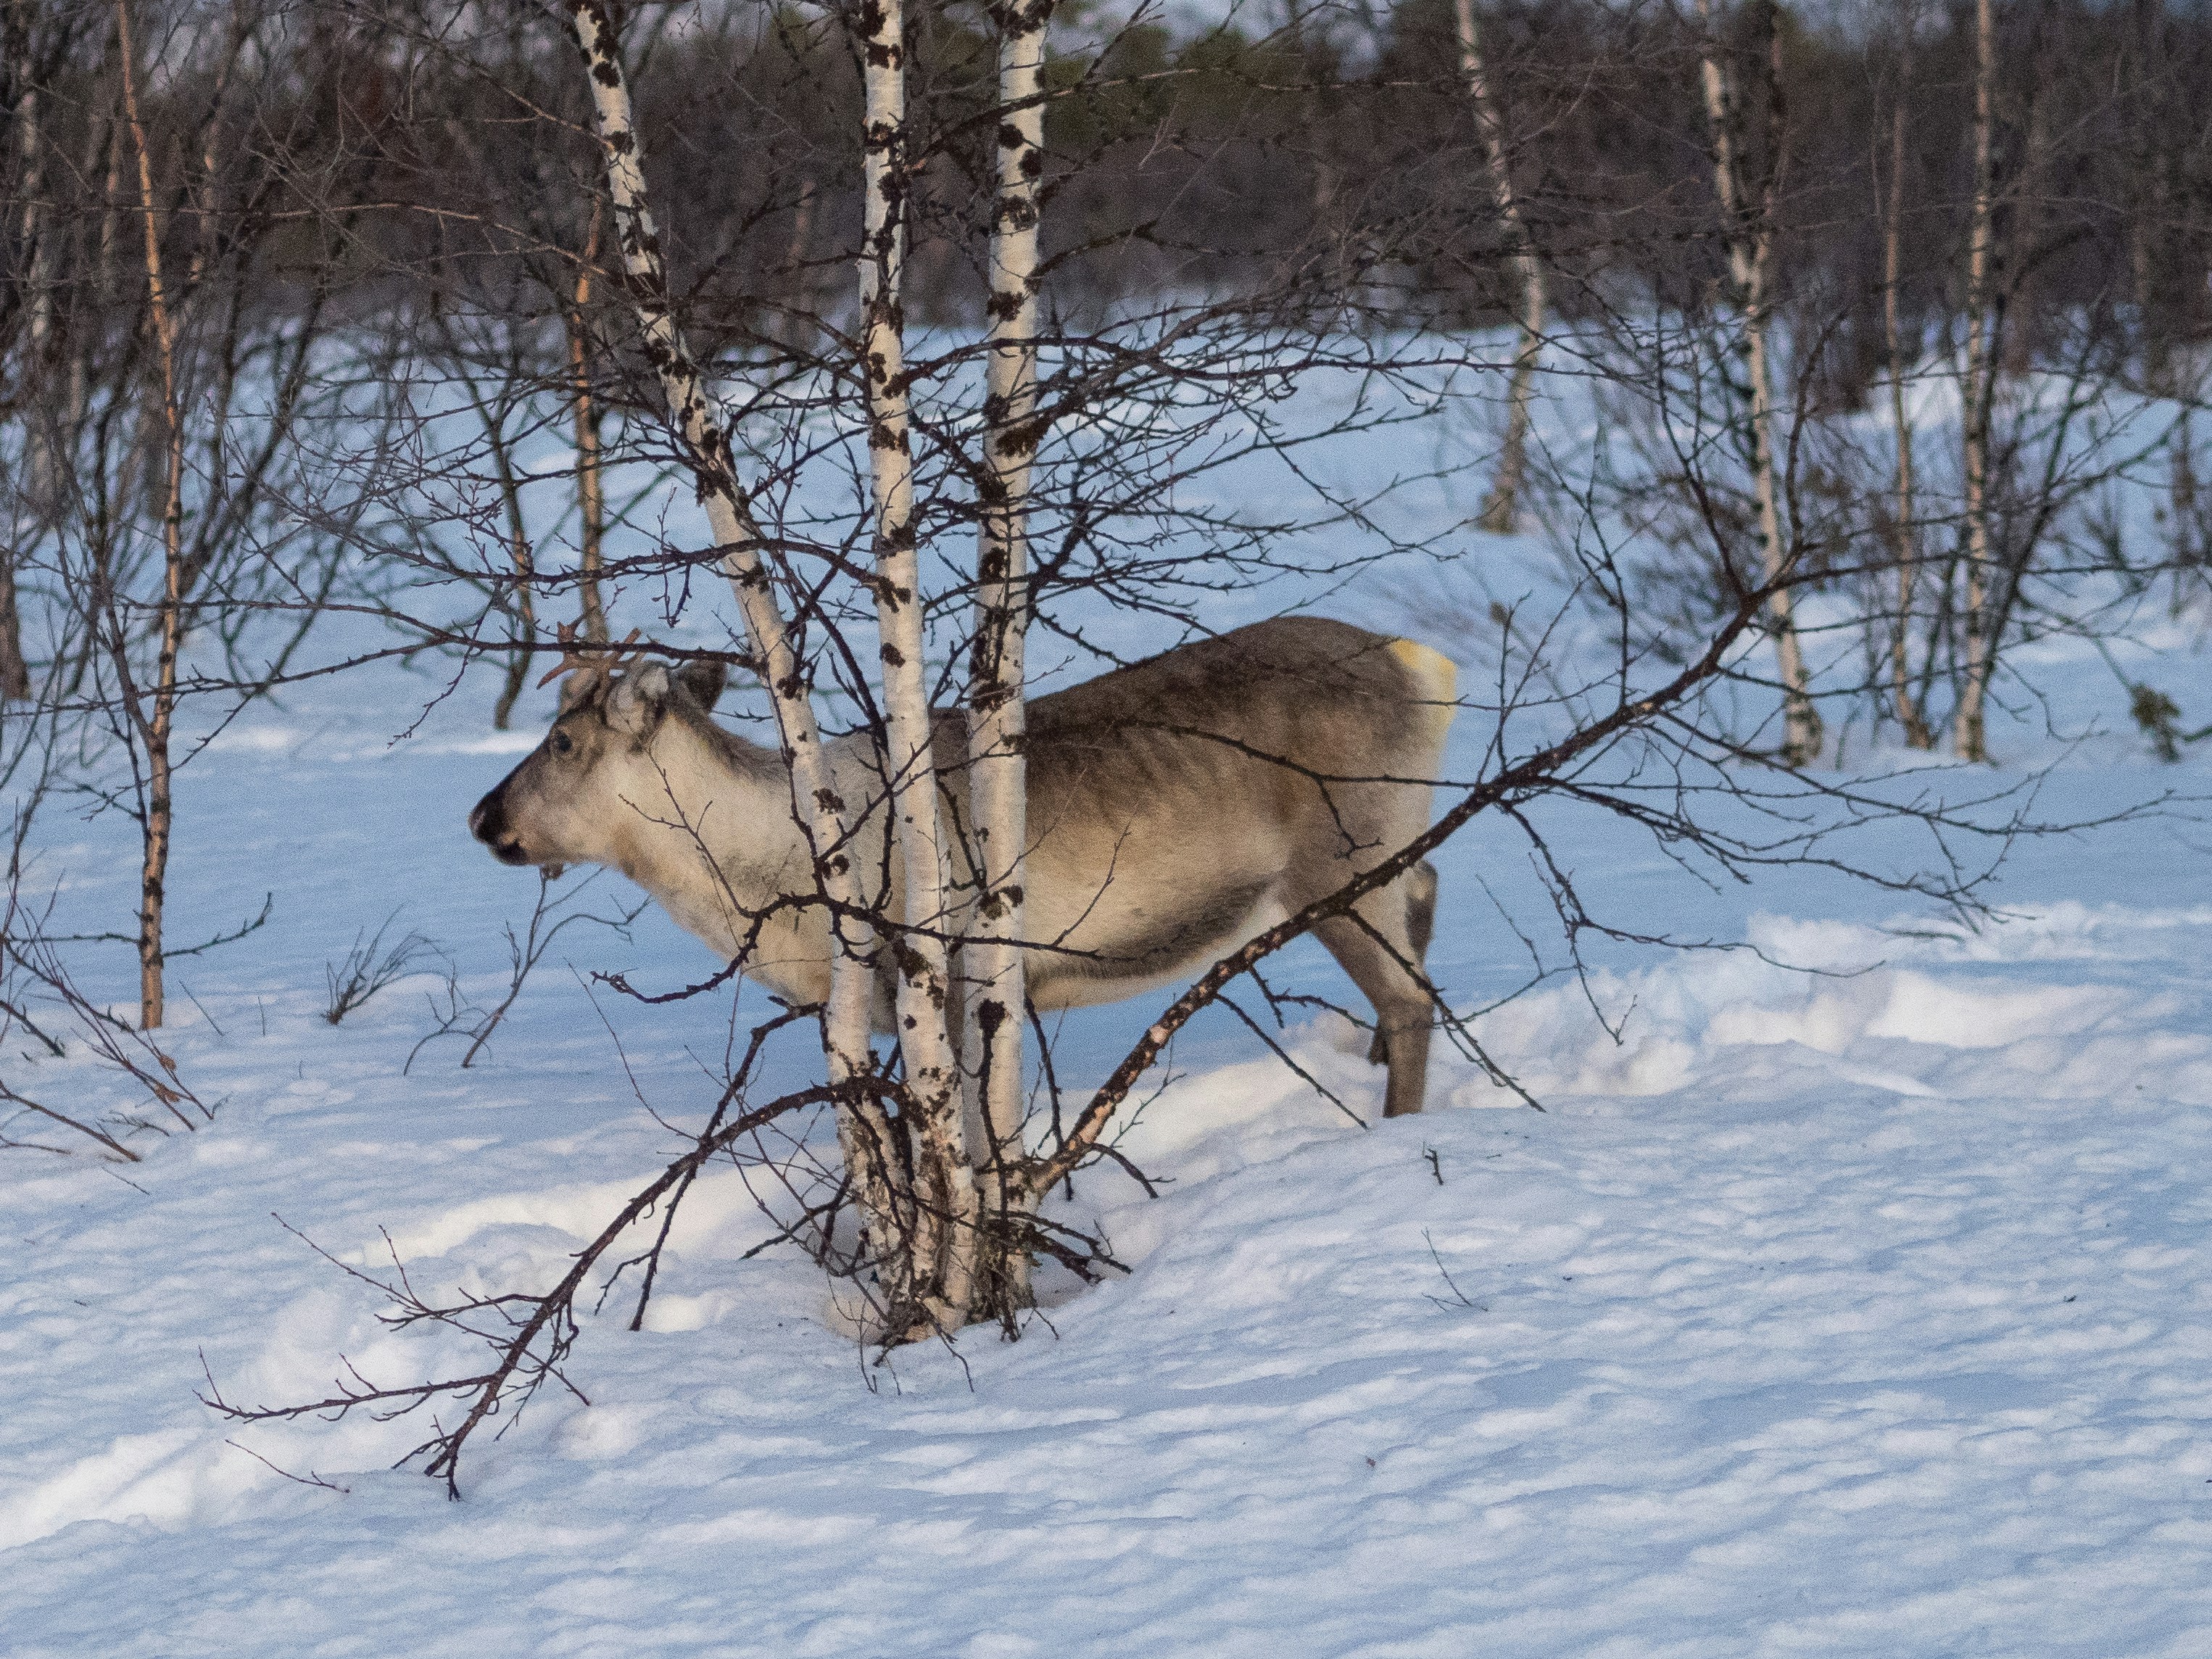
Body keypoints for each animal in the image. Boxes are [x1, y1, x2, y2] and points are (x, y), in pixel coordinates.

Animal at [468, 616, 1458, 1117]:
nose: (483, 816)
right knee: (1430, 901)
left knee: (1410, 998)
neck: (773, 880)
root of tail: (1430, 666)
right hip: (1392, 847)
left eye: (564, 741)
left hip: (1344, 859)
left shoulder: (956, 980)